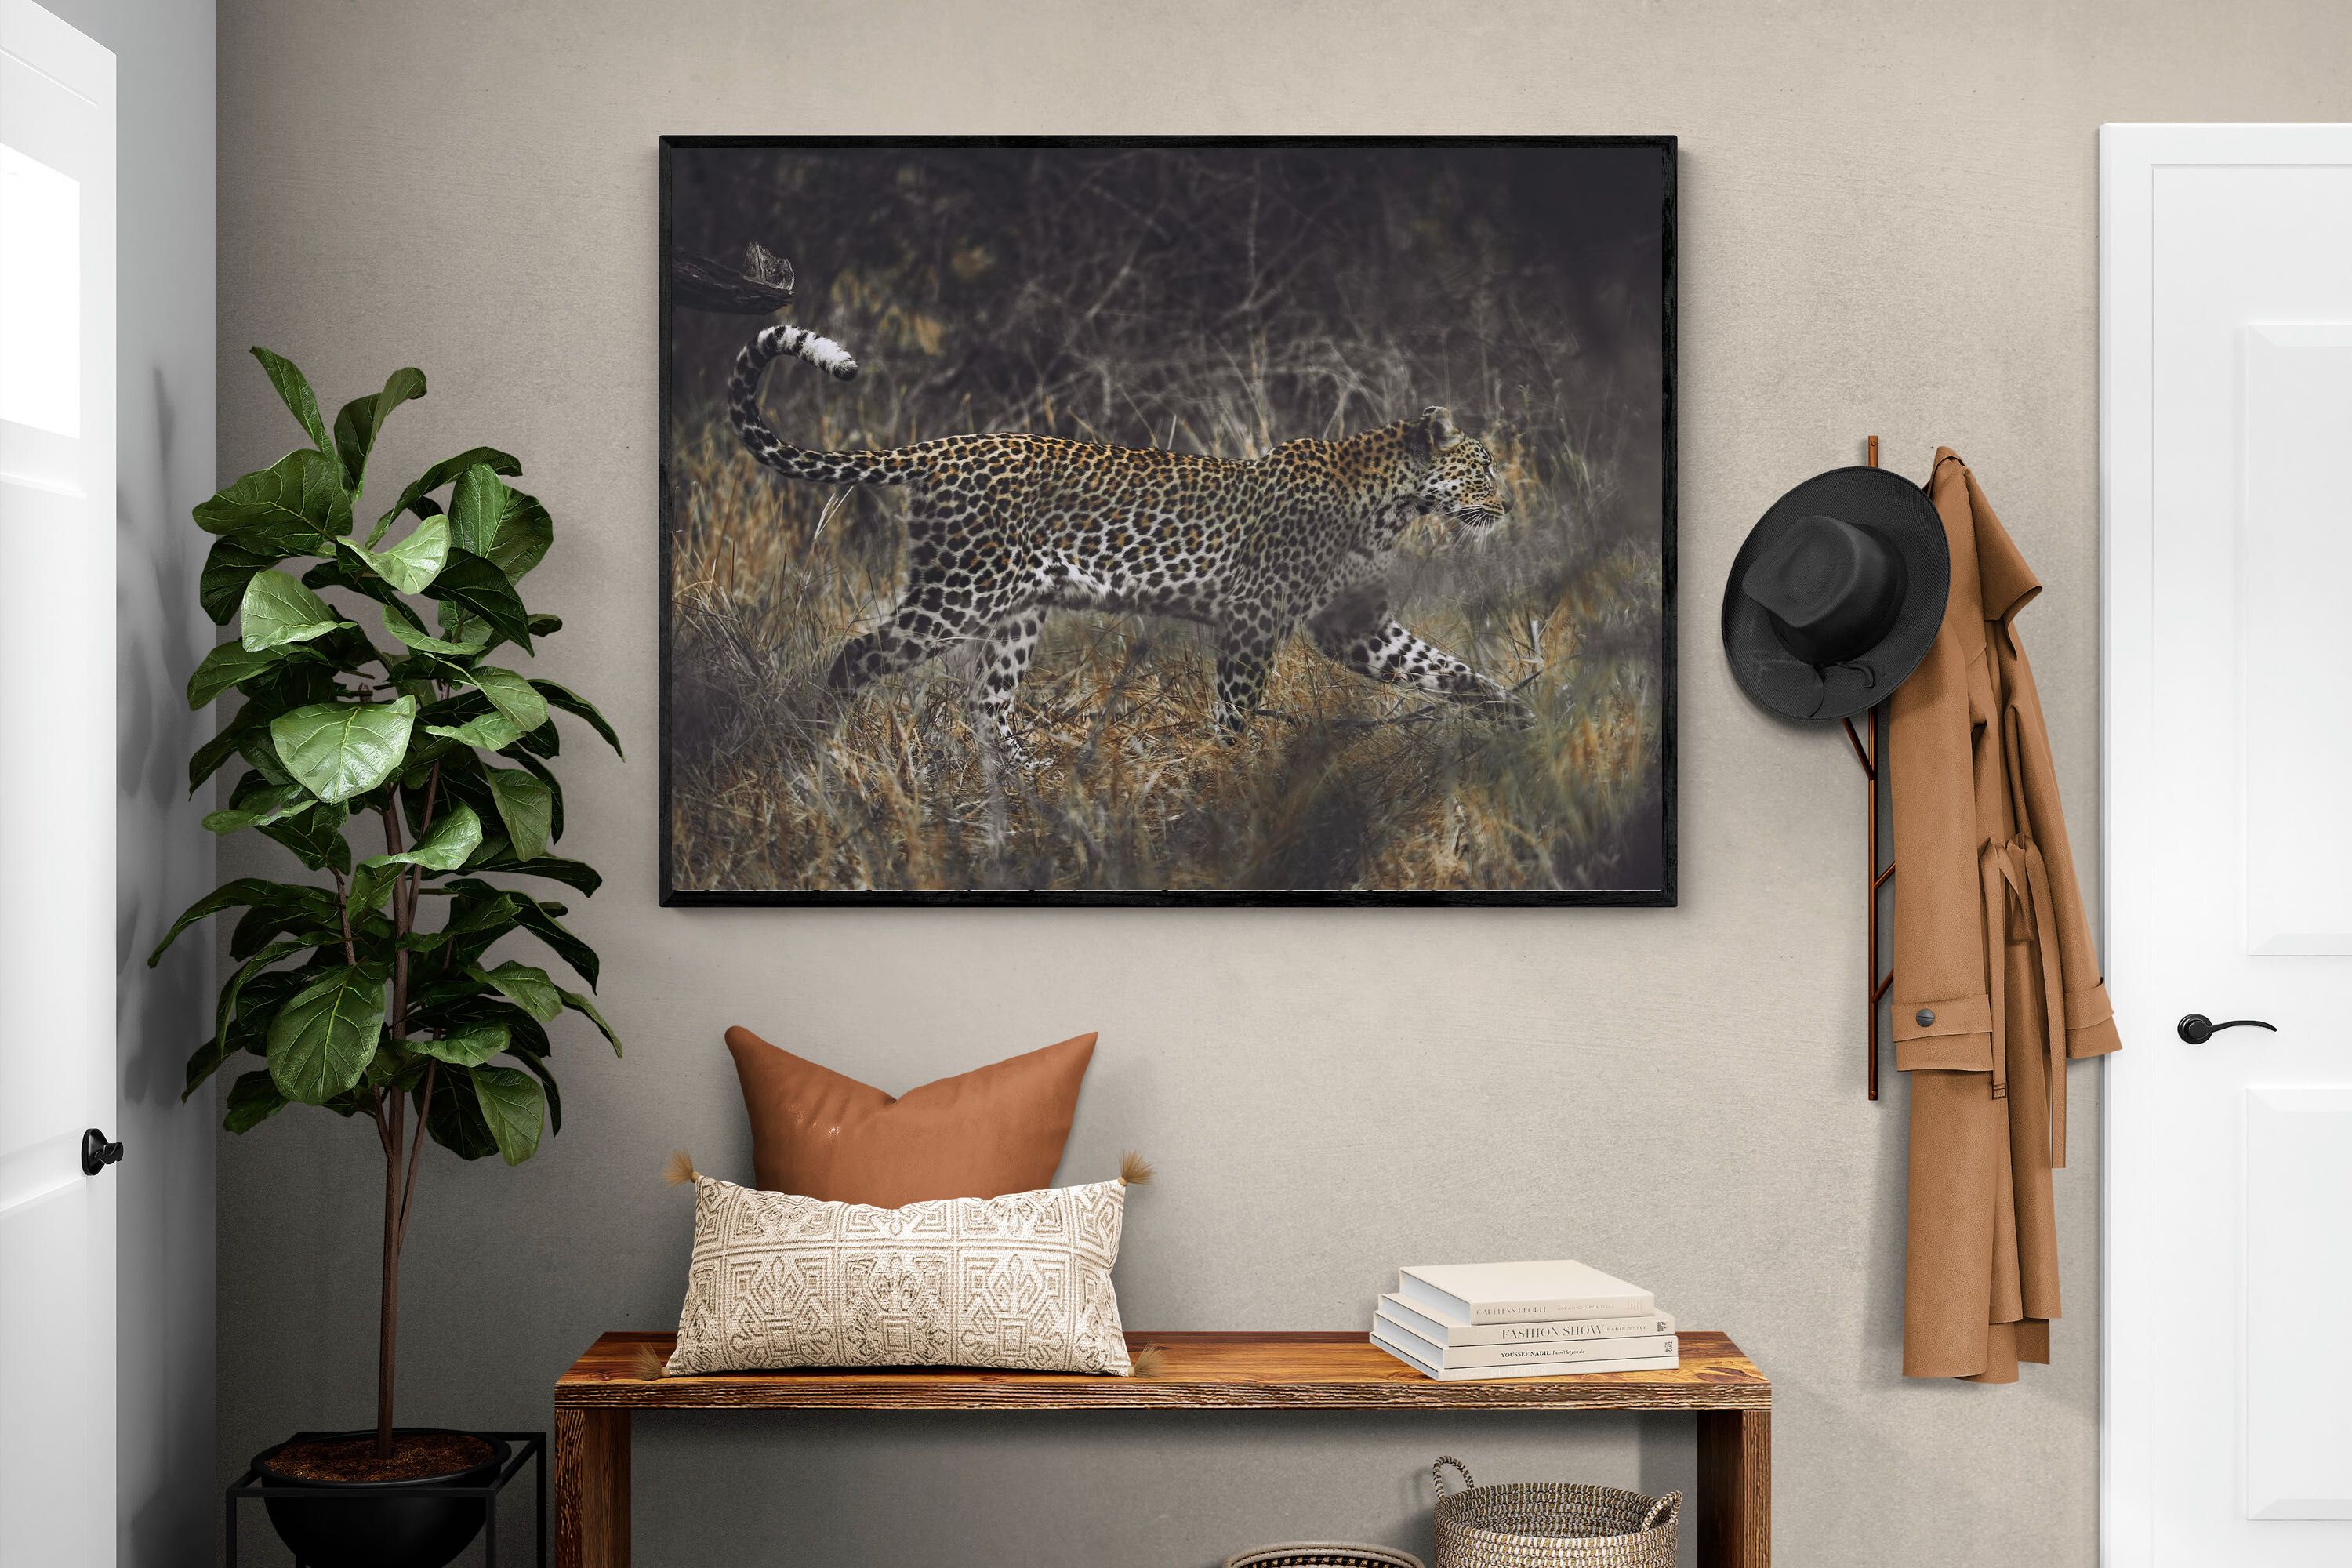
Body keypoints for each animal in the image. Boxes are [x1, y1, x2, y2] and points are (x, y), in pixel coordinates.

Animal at [726, 321, 1528, 766]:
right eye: (1483, 465)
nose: (1509, 503)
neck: (1391, 504)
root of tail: (944, 446)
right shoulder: (1253, 618)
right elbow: (1235, 710)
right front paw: (1224, 779)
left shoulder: (1353, 627)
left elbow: (1444, 669)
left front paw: (1518, 716)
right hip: (960, 592)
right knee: (857, 656)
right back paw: (821, 753)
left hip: (1017, 608)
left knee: (988, 703)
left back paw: (1034, 786)